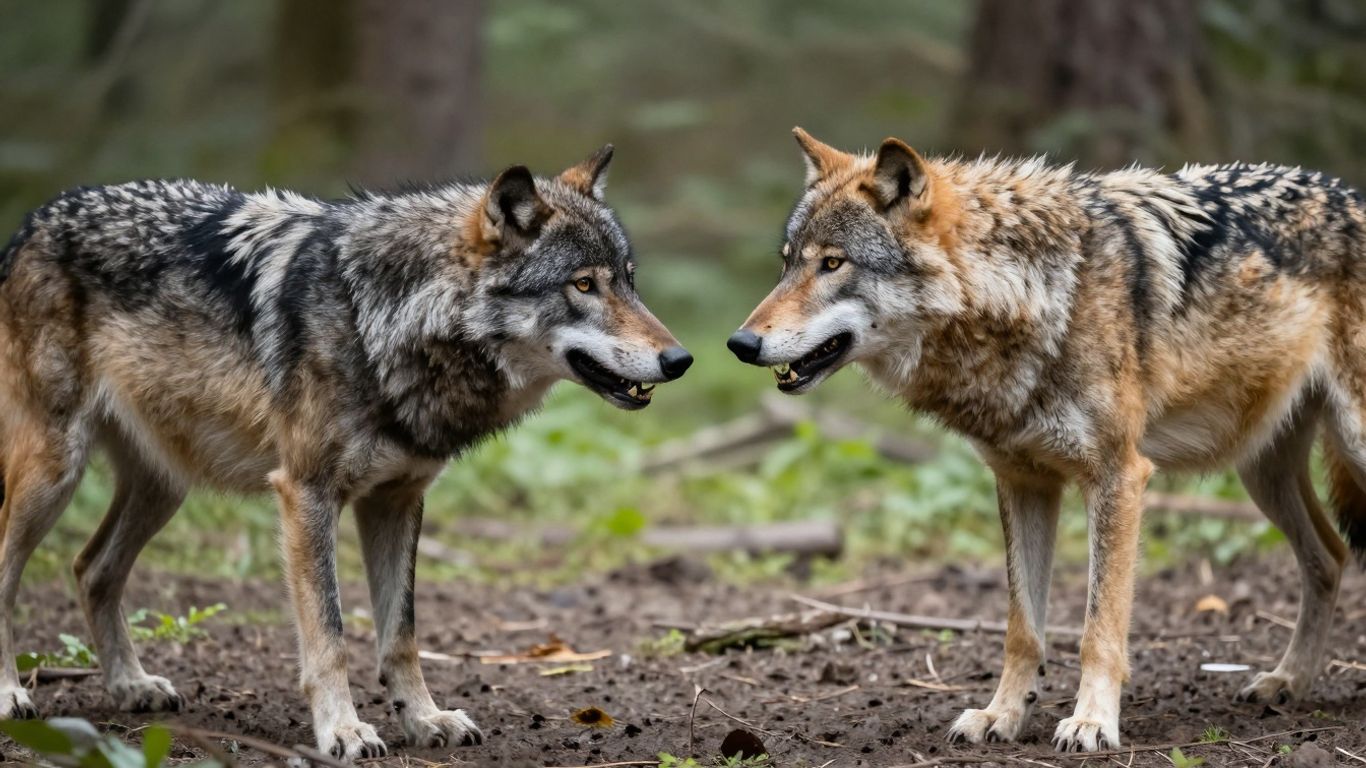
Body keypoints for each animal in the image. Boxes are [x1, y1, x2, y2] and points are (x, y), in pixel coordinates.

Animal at [0, 146, 693, 759]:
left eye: (630, 283)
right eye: (584, 284)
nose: (680, 359)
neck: (386, 320)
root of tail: (32, 220)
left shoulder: (397, 499)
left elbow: (401, 634)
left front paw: (425, 719)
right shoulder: (305, 494)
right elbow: (330, 633)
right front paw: (344, 731)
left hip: (164, 486)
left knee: (92, 568)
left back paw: (130, 685)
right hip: (54, 472)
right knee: (14, 569)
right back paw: (12, 695)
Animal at [729, 128, 1366, 752]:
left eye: (833, 263)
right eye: (787, 264)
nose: (740, 343)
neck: (1034, 294)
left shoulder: (1118, 477)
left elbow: (1097, 628)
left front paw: (1092, 723)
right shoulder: (1023, 482)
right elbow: (1022, 630)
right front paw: (1002, 715)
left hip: (1343, 445)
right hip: (1262, 473)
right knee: (1330, 558)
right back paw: (1287, 681)